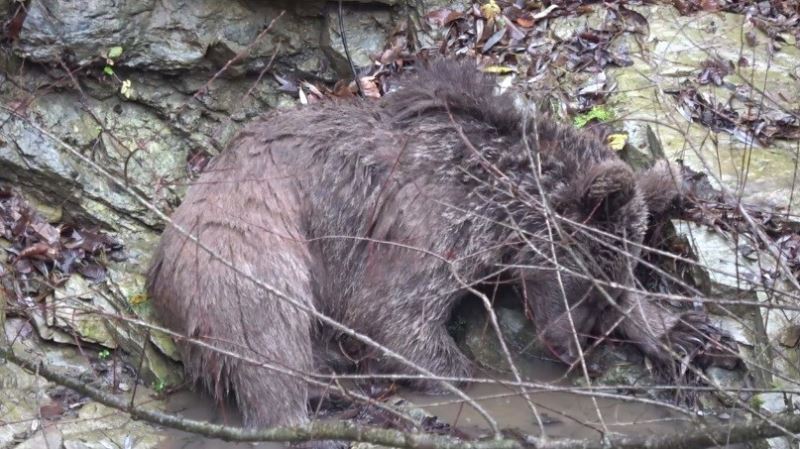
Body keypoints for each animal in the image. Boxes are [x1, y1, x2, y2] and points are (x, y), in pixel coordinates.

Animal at [147, 59, 728, 428]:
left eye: (610, 291)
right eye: (583, 280)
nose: (574, 352)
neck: (503, 207)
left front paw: (682, 334)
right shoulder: (429, 228)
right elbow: (396, 320)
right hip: (250, 246)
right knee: (266, 338)